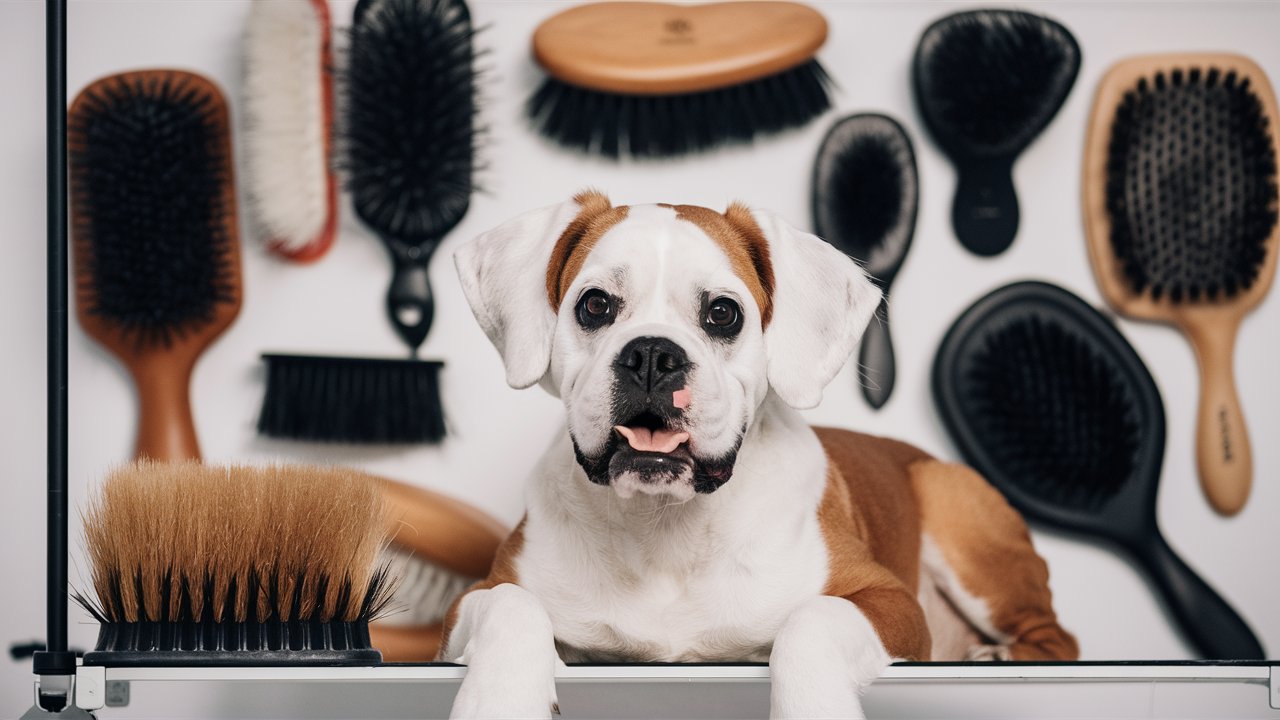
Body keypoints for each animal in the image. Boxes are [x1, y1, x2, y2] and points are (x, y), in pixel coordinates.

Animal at [445, 192, 1075, 717]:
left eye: (723, 313)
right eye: (594, 305)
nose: (651, 355)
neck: (664, 526)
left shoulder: (888, 601)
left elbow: (811, 619)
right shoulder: (470, 603)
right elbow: (510, 606)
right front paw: (498, 701)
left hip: (959, 518)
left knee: (1058, 637)